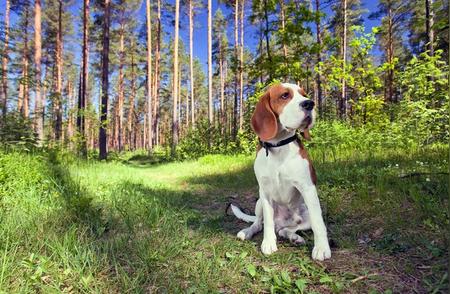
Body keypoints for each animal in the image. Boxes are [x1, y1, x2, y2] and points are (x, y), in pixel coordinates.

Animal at [232, 81, 330, 260]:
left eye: (304, 94)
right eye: (284, 95)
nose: (310, 103)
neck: (279, 146)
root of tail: (282, 222)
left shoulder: (308, 188)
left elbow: (318, 223)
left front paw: (321, 248)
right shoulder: (264, 191)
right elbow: (268, 223)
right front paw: (268, 243)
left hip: (305, 213)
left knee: (286, 230)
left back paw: (294, 237)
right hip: (259, 202)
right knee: (259, 223)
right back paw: (248, 231)